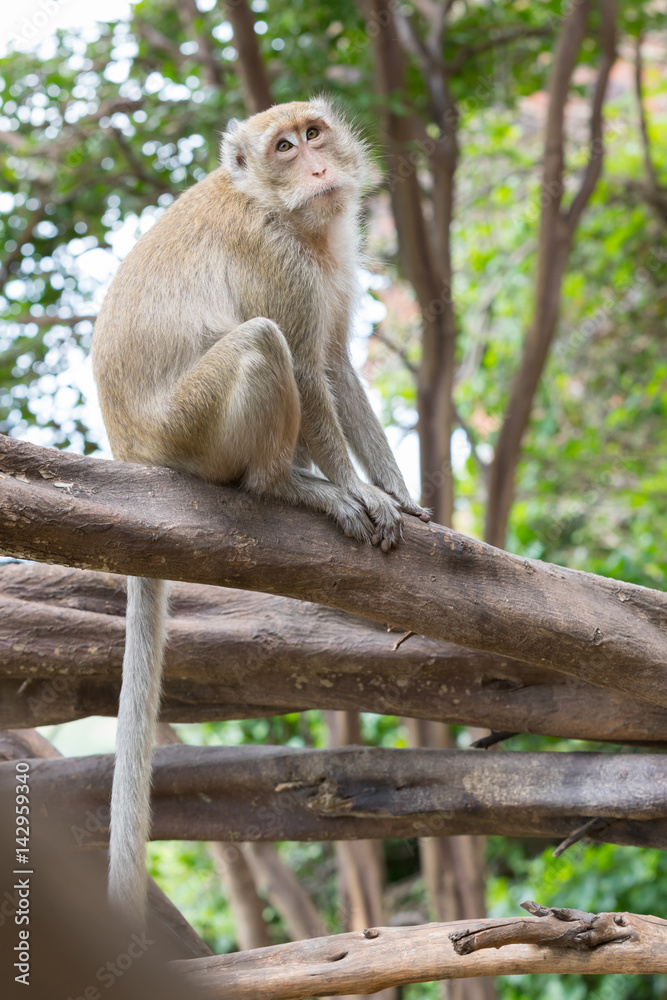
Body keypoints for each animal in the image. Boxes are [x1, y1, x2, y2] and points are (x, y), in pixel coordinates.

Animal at [91, 97, 430, 924]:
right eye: (283, 148)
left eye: (313, 134)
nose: (318, 165)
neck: (289, 215)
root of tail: (131, 454)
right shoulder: (272, 254)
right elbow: (306, 366)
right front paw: (360, 491)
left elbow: (336, 365)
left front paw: (400, 492)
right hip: (191, 429)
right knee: (262, 343)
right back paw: (290, 486)